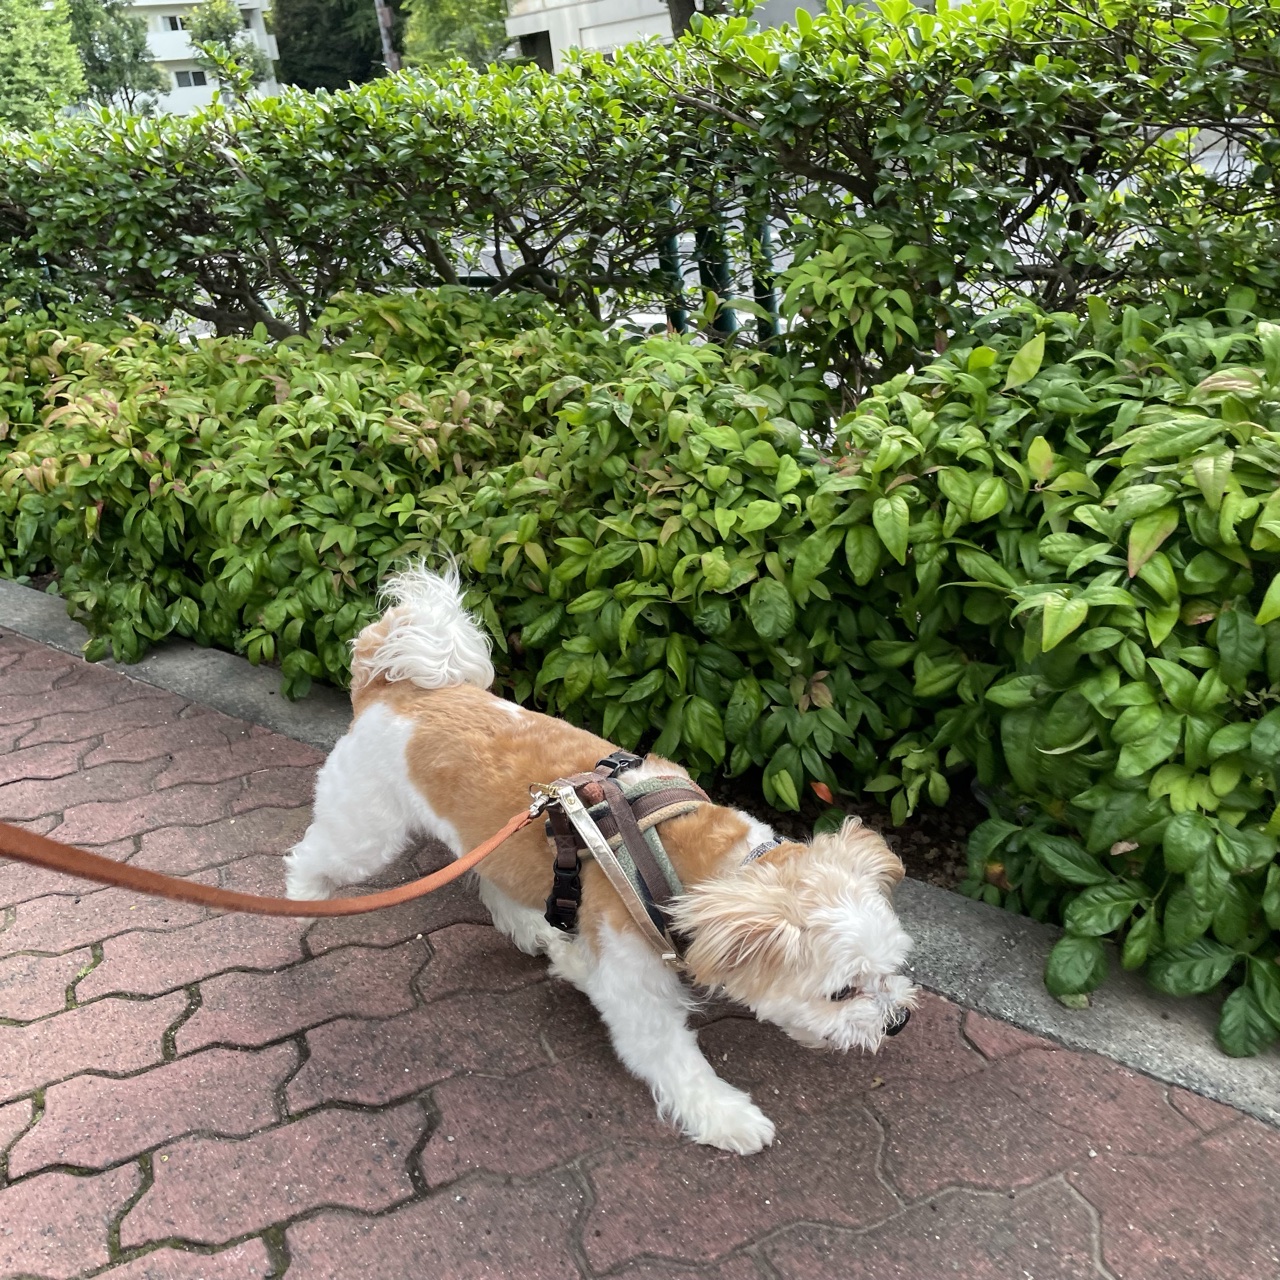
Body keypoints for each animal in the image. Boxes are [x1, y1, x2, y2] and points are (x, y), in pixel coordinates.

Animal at [283, 564, 917, 1154]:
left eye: (893, 969)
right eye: (841, 992)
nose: (899, 1022)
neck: (676, 856)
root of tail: (391, 685)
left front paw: (568, 960)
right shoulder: (635, 985)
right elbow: (673, 1056)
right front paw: (725, 1115)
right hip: (364, 834)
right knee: (310, 857)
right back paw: (302, 904)